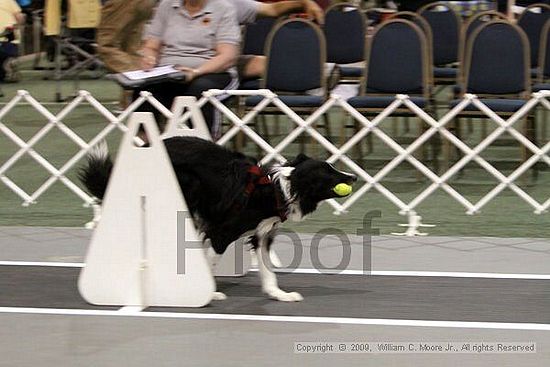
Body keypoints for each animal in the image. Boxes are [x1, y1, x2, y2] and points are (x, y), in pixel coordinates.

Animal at [81, 137, 358, 304]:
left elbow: (268, 270)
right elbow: (210, 261)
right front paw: (209, 292)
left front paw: (279, 294)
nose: (354, 176)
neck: (276, 190)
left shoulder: (262, 234)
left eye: (334, 167)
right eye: (330, 174)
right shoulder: (221, 233)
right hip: (184, 191)